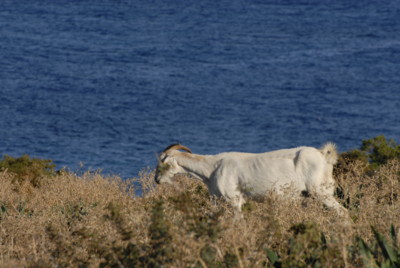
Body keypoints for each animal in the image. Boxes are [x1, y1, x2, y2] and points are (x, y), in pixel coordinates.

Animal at [155, 142, 348, 216]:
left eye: (163, 163)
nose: (157, 180)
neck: (211, 168)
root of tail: (325, 156)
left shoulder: (234, 199)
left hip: (322, 191)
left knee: (343, 212)